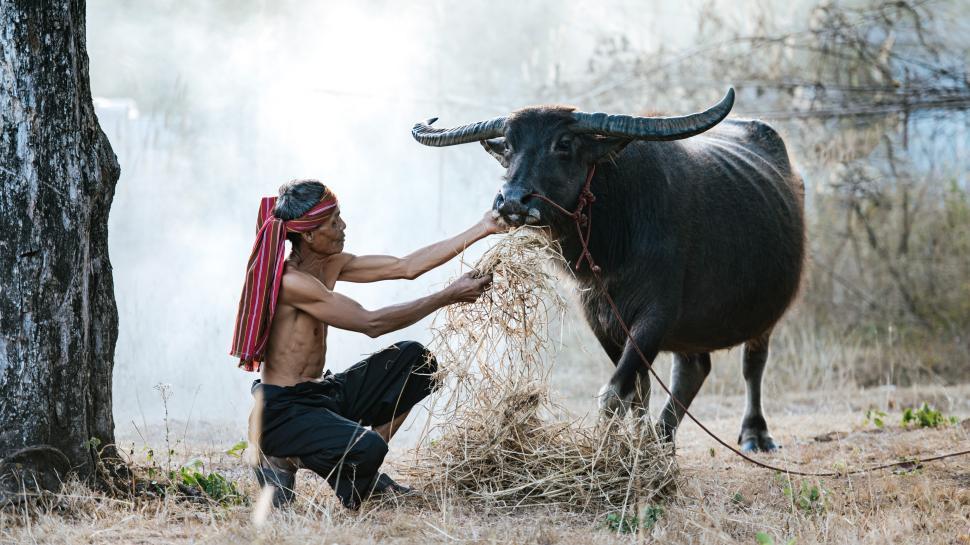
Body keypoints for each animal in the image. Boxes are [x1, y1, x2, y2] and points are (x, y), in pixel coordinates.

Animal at [412, 89, 804, 452]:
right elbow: (638, 390)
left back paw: (754, 434)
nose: (511, 201)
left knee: (752, 364)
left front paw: (606, 453)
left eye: (564, 143)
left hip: (765, 312)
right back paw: (662, 442)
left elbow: (615, 392)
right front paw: (636, 446)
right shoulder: (601, 317)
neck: (617, 235)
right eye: (508, 144)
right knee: (693, 368)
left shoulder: (656, 314)